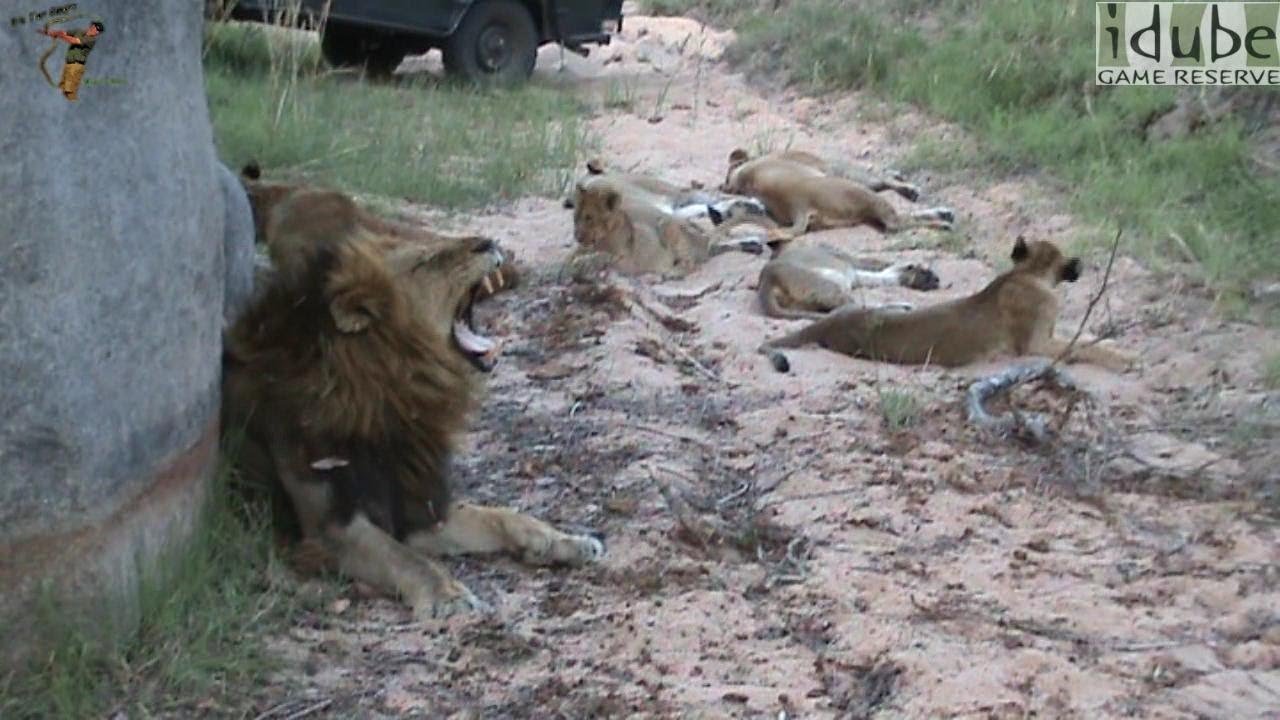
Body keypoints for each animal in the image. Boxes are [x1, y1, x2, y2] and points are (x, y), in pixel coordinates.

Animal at [224, 178, 604, 619]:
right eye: (428, 261)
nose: (489, 241)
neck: (400, 393)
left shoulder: (416, 507)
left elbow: (500, 517)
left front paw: (565, 541)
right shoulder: (330, 527)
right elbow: (406, 560)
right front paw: (448, 596)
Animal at [758, 237, 941, 320]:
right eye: (927, 273)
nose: (938, 280)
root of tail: (767, 277)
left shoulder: (855, 275)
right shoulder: (851, 263)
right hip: (827, 286)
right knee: (853, 308)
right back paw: (904, 306)